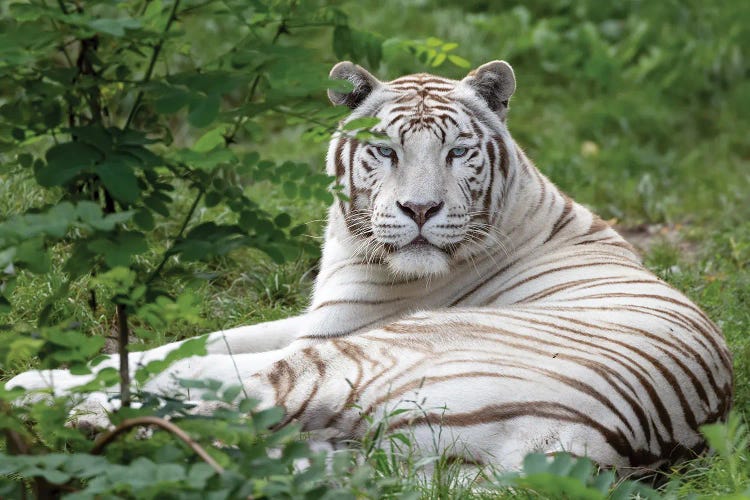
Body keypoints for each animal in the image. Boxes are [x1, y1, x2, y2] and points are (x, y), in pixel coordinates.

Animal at [7, 60, 736, 474]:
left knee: (236, 395)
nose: (419, 208)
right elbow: (191, 341)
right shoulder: (316, 317)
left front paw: (48, 376)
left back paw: (44, 398)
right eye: (384, 151)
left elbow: (185, 358)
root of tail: (591, 446)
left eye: (458, 151)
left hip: (361, 358)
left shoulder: (333, 331)